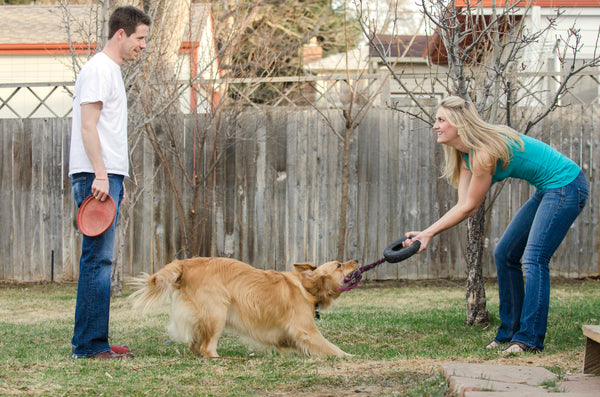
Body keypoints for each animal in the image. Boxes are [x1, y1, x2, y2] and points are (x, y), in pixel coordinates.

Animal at [130, 255, 356, 358]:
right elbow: (328, 346)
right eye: (339, 265)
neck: (307, 287)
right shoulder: (306, 330)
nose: (356, 260)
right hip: (218, 313)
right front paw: (347, 356)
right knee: (206, 347)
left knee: (195, 345)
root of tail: (185, 263)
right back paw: (218, 359)